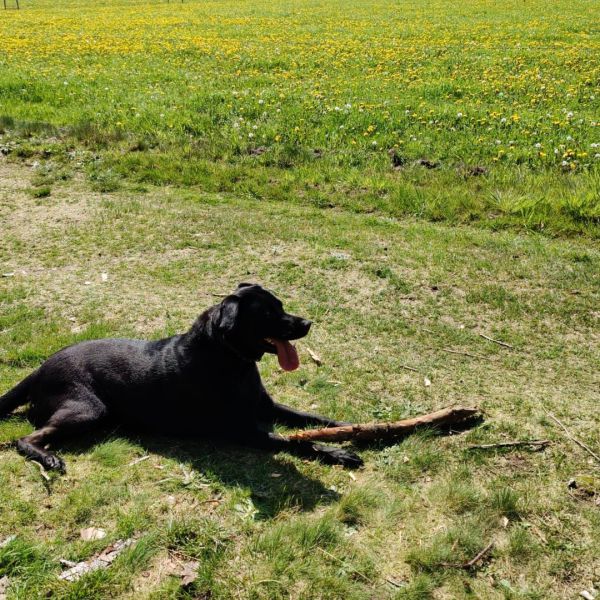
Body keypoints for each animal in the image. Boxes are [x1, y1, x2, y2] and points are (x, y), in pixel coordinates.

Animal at [0, 284, 360, 472]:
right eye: (269, 313)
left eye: (281, 306)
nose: (307, 323)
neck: (229, 356)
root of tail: (39, 368)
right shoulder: (243, 431)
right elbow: (297, 441)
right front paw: (338, 454)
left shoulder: (266, 406)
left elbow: (312, 418)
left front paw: (348, 430)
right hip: (87, 409)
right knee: (26, 438)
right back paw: (47, 457)